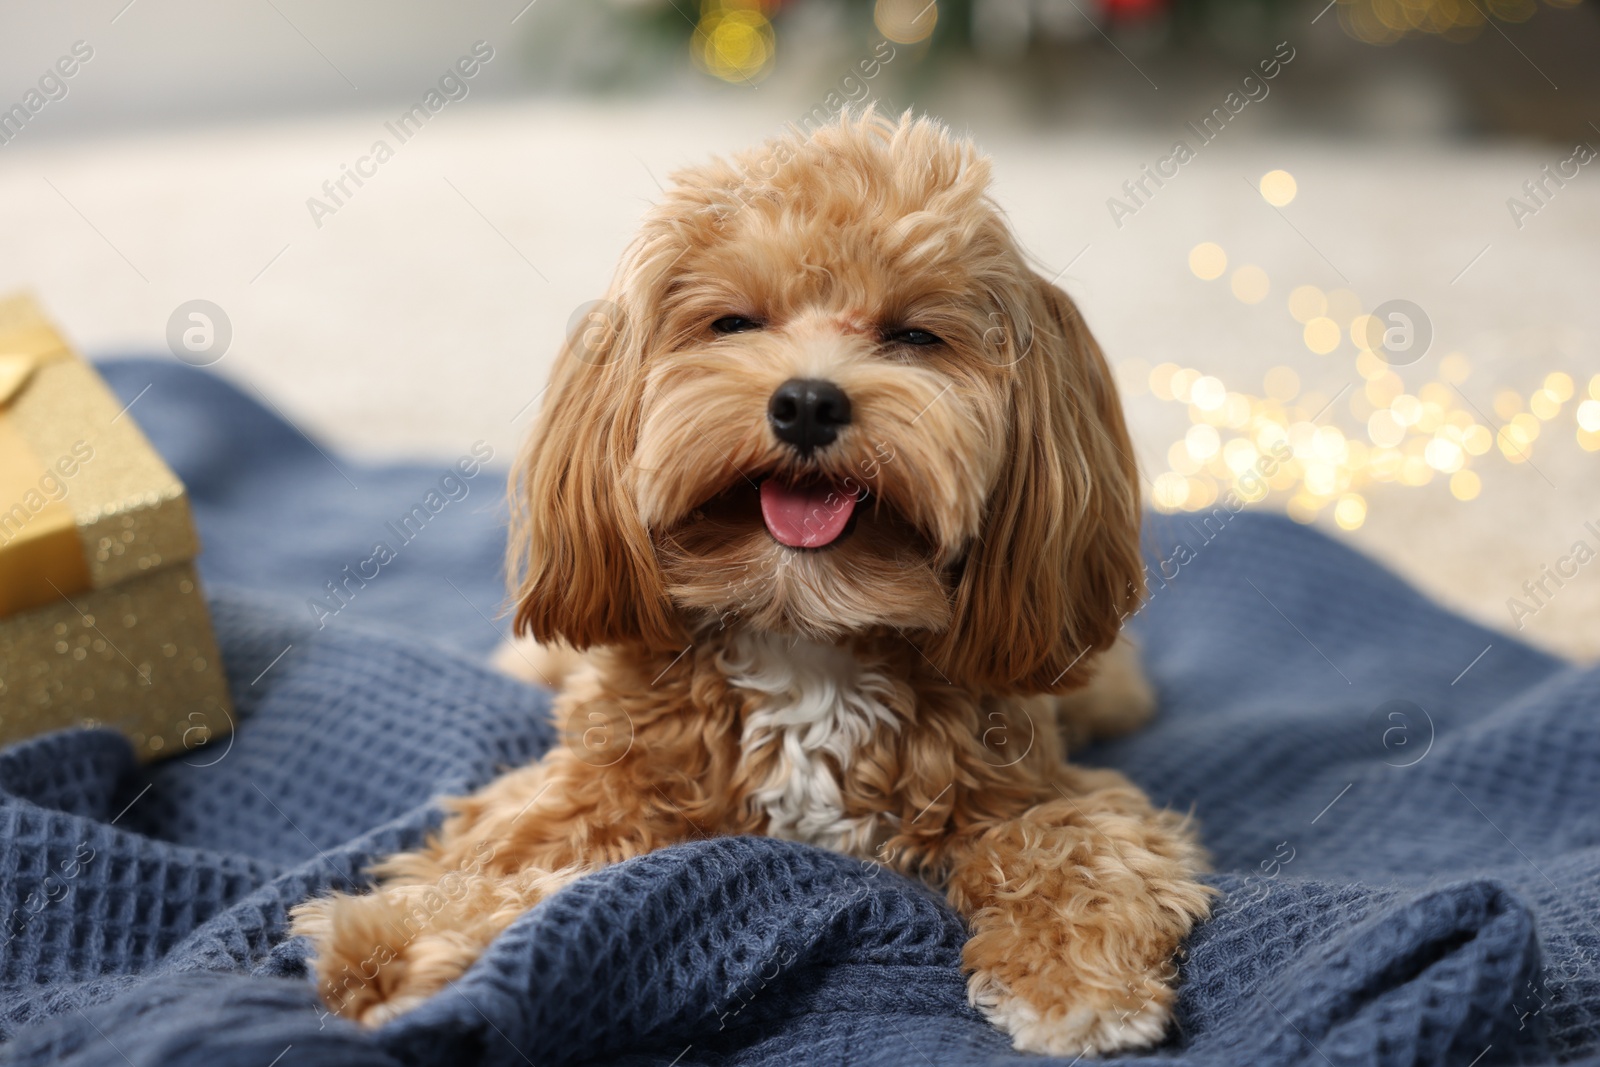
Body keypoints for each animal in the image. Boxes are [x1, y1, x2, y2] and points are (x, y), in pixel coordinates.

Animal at [291, 110, 1209, 1062]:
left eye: (913, 336)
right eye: (734, 322)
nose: (807, 402)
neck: (804, 627)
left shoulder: (1042, 788)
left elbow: (1074, 844)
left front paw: (1075, 981)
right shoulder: (598, 786)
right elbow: (506, 852)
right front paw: (391, 945)